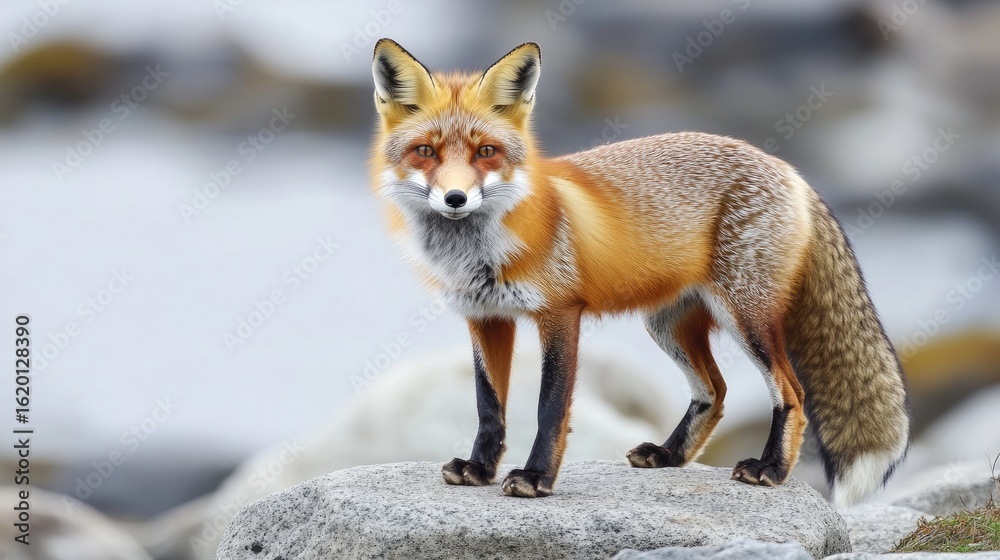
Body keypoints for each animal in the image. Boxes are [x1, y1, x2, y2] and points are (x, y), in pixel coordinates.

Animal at [369, 38, 910, 506]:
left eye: (486, 152)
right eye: (426, 151)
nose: (455, 198)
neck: (480, 251)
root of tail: (786, 168)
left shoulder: (559, 314)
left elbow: (549, 410)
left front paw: (537, 477)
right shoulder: (485, 317)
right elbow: (488, 407)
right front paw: (480, 469)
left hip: (746, 316)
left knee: (790, 392)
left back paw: (771, 469)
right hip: (667, 323)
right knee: (714, 390)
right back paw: (670, 455)